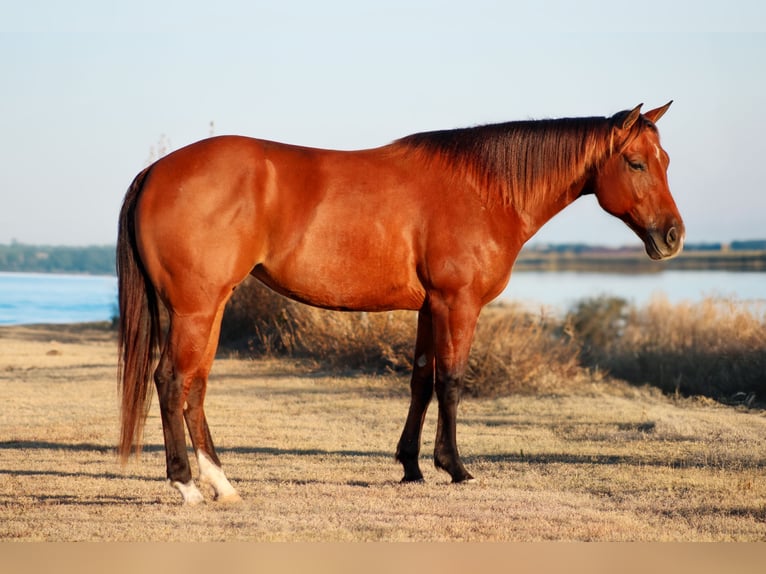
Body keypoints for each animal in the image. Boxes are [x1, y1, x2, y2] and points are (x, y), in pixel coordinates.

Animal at [117, 102, 684, 505]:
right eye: (636, 163)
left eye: (666, 162)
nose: (673, 236)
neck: (484, 189)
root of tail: (156, 171)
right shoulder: (458, 305)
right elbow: (451, 382)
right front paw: (456, 468)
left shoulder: (429, 308)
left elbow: (420, 382)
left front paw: (411, 467)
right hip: (196, 308)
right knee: (172, 380)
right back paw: (187, 485)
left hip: (207, 309)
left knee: (195, 386)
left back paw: (221, 483)